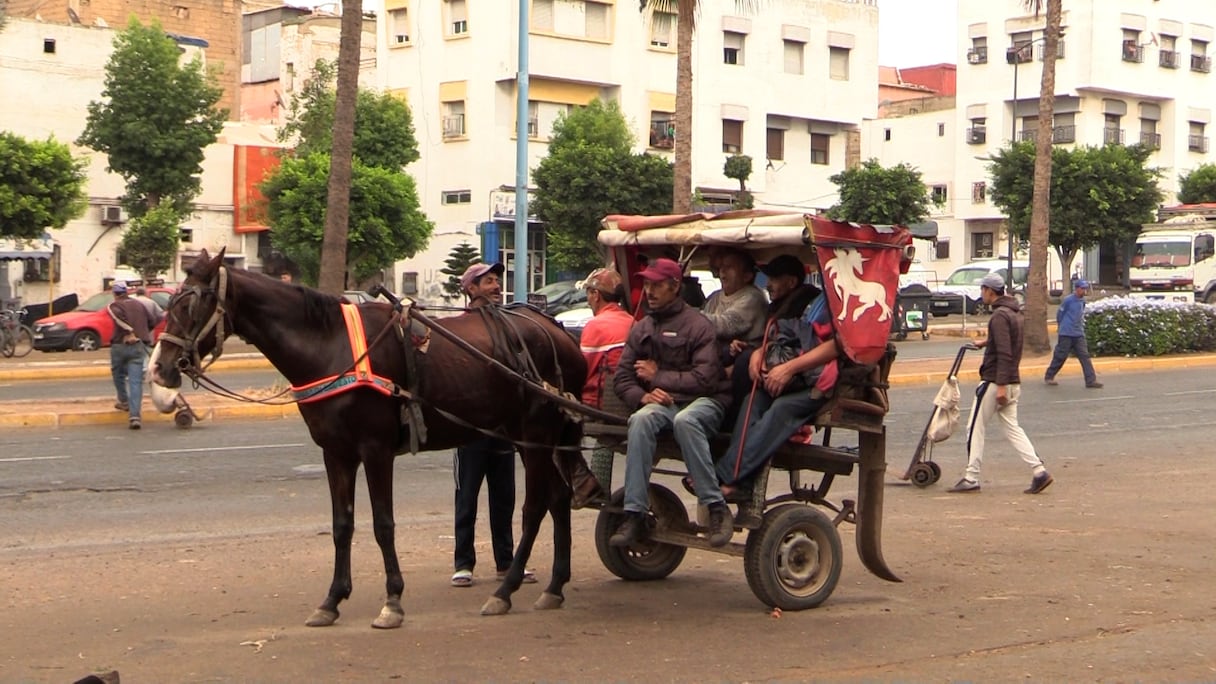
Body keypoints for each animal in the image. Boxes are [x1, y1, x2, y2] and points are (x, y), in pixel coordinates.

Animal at [149, 247, 595, 628]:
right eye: (169, 304)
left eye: (189, 306)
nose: (160, 368)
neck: (331, 348)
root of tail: (557, 330)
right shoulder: (336, 453)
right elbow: (342, 525)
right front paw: (332, 600)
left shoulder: (376, 450)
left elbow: (383, 524)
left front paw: (392, 600)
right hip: (539, 436)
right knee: (558, 500)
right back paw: (555, 585)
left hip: (534, 432)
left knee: (535, 506)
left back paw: (506, 589)